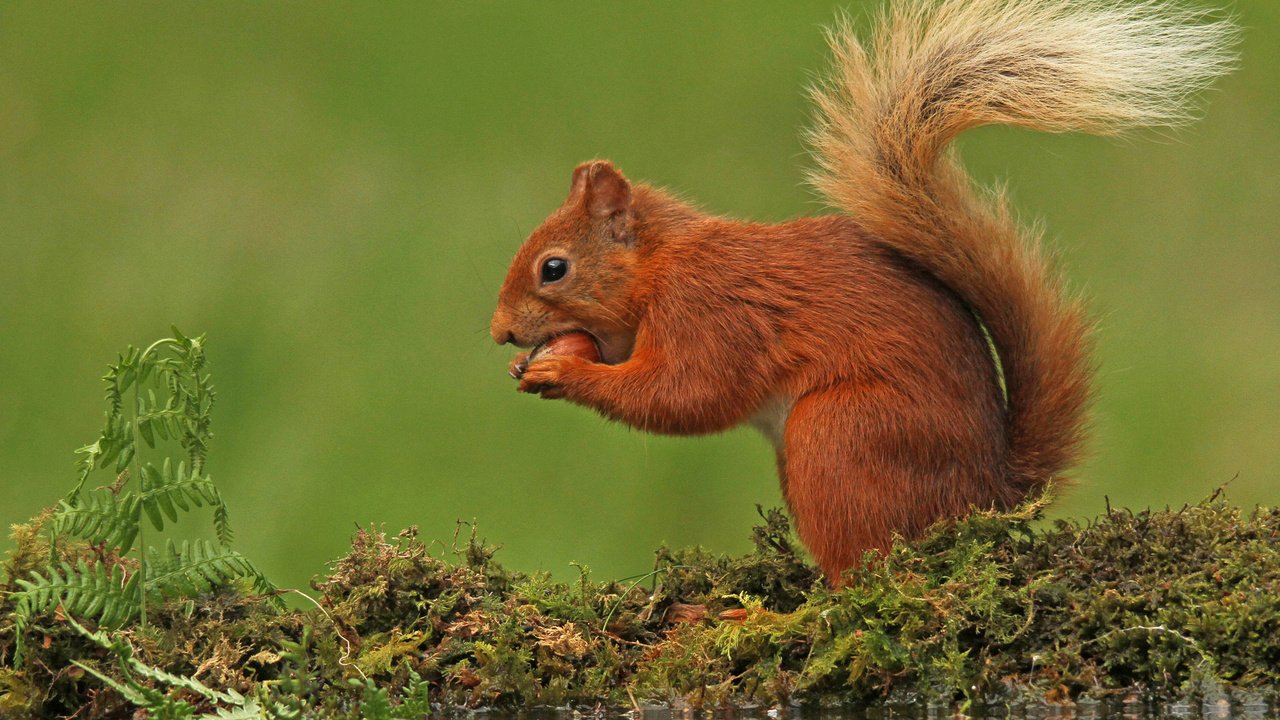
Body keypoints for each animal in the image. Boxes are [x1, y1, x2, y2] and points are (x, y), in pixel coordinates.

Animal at [486, 0, 1228, 576]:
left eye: (553, 268)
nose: (499, 333)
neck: (664, 263)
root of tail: (985, 500)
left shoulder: (712, 311)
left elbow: (685, 395)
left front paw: (565, 374)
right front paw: (532, 366)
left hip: (839, 438)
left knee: (862, 575)